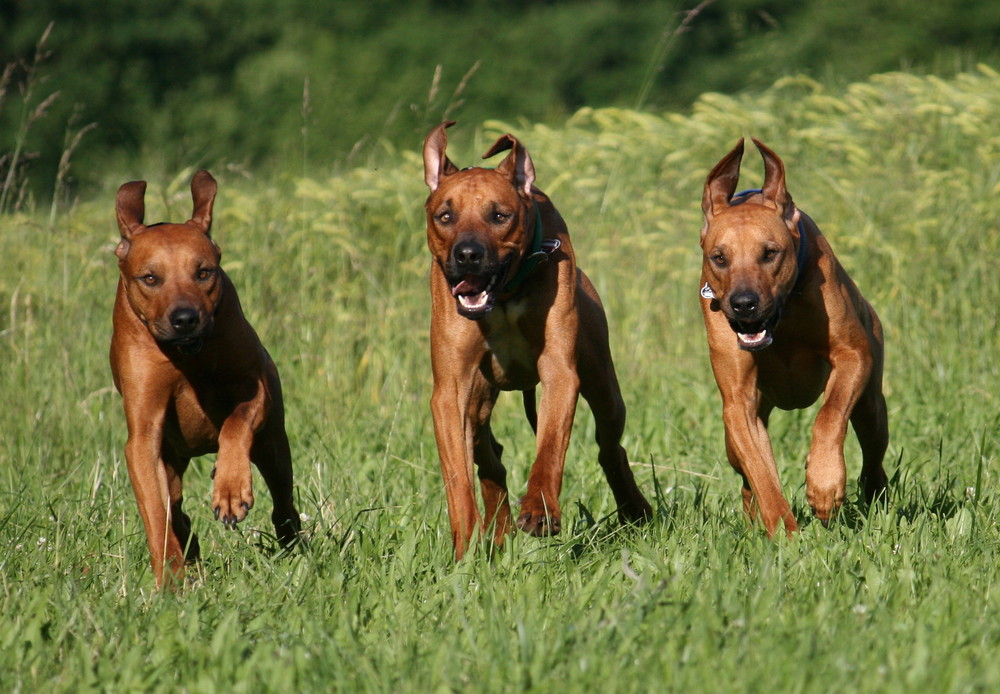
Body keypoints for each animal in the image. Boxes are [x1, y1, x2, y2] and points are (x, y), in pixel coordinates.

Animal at [111, 170, 300, 588]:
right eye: (150, 278)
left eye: (203, 272)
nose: (185, 318)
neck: (188, 355)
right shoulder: (143, 434)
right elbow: (156, 512)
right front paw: (170, 577)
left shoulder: (254, 388)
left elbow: (236, 422)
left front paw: (230, 488)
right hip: (171, 461)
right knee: (176, 507)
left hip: (273, 445)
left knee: (283, 502)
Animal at [420, 122, 648, 564]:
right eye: (445, 216)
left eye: (499, 215)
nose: (468, 255)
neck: (506, 293)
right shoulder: (450, 391)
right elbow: (457, 475)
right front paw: (466, 544)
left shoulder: (560, 370)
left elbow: (551, 444)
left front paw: (540, 512)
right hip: (478, 398)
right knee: (489, 457)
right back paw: (498, 532)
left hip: (605, 388)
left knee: (610, 448)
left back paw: (636, 509)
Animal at [700, 139, 888, 536]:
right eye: (719, 257)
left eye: (770, 252)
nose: (743, 304)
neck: (781, 320)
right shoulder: (738, 404)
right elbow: (762, 473)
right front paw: (785, 533)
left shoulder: (852, 356)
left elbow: (830, 414)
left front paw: (825, 484)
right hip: (734, 437)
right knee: (746, 477)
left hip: (871, 406)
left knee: (873, 457)